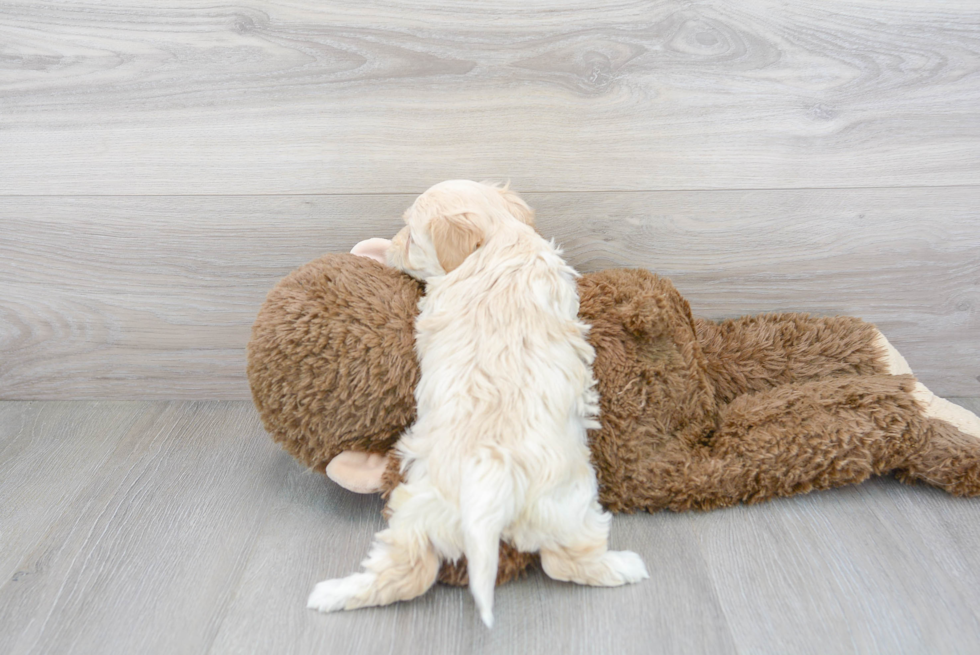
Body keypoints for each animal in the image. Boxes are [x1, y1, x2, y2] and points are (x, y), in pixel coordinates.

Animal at [304, 179, 644, 624]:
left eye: (411, 238)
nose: (392, 246)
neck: (498, 240)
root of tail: (492, 475)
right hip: (561, 505)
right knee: (564, 561)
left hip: (425, 505)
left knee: (410, 570)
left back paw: (330, 593)